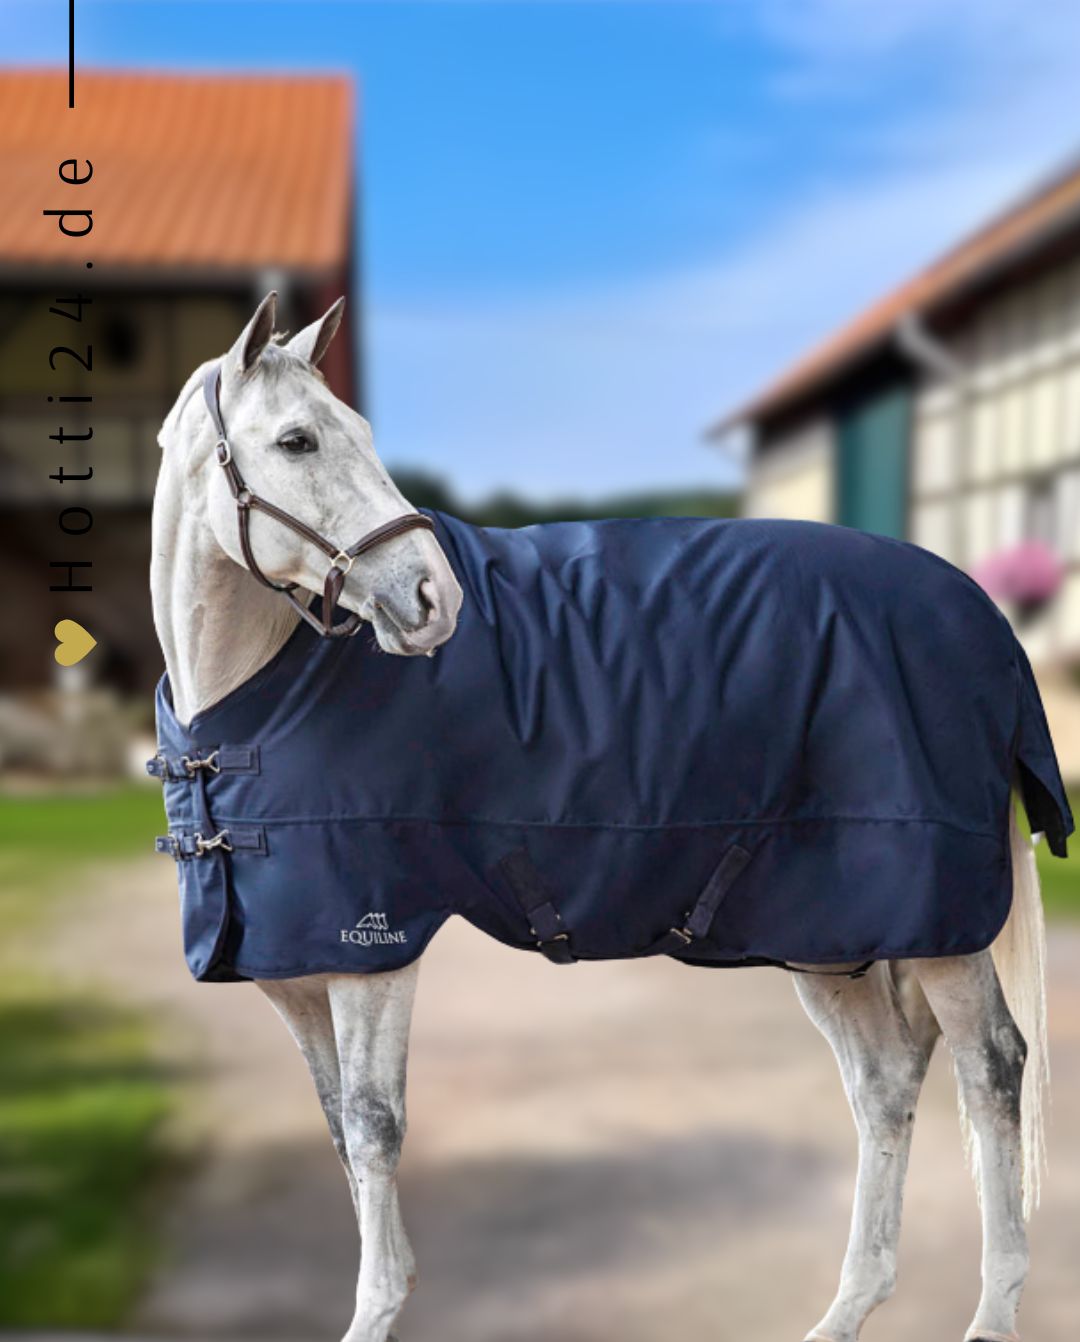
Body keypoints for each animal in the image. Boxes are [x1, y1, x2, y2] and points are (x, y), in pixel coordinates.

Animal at [151, 292, 1065, 1342]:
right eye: (296, 440)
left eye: (359, 434)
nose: (433, 598)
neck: (257, 701)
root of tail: (981, 615)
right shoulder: (296, 973)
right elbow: (341, 1126)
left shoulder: (373, 948)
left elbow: (377, 1128)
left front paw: (380, 1305)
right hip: (829, 926)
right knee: (885, 1080)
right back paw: (847, 1308)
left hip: (941, 923)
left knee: (992, 1068)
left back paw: (990, 1311)